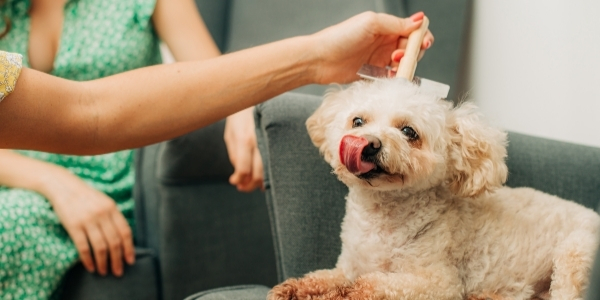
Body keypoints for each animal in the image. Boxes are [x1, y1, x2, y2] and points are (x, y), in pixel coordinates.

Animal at [268, 78, 600, 300]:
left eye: (409, 131)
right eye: (357, 121)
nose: (369, 144)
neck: (380, 222)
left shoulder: (438, 282)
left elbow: (373, 284)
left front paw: (349, 292)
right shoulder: (348, 265)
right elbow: (323, 277)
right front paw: (294, 287)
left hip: (574, 254)